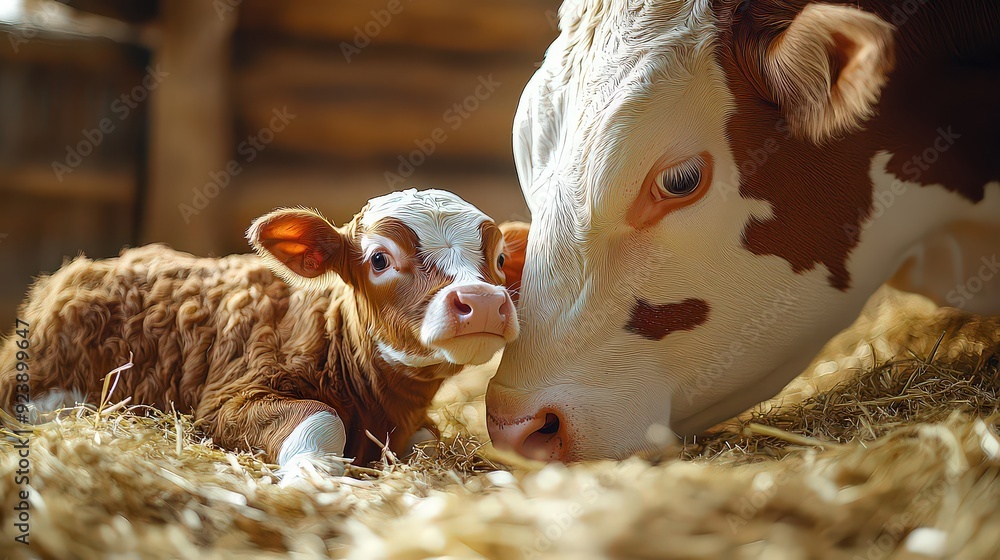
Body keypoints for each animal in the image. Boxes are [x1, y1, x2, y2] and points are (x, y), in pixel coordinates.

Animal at [0, 189, 525, 475]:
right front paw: (317, 475)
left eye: (500, 259)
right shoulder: (227, 400)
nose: (481, 301)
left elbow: (430, 440)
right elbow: (319, 418)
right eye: (379, 259)